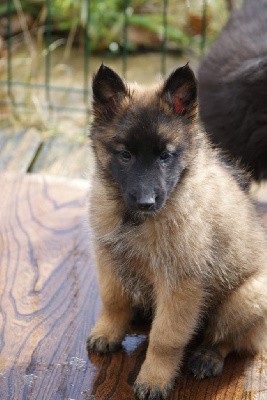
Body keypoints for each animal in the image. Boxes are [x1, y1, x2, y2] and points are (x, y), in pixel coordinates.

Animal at [87, 65, 267, 400]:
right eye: (125, 155)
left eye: (165, 156)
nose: (146, 202)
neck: (136, 220)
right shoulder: (109, 258)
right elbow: (113, 300)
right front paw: (108, 332)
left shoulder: (181, 283)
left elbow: (165, 338)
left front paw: (154, 379)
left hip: (248, 297)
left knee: (230, 338)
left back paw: (208, 356)